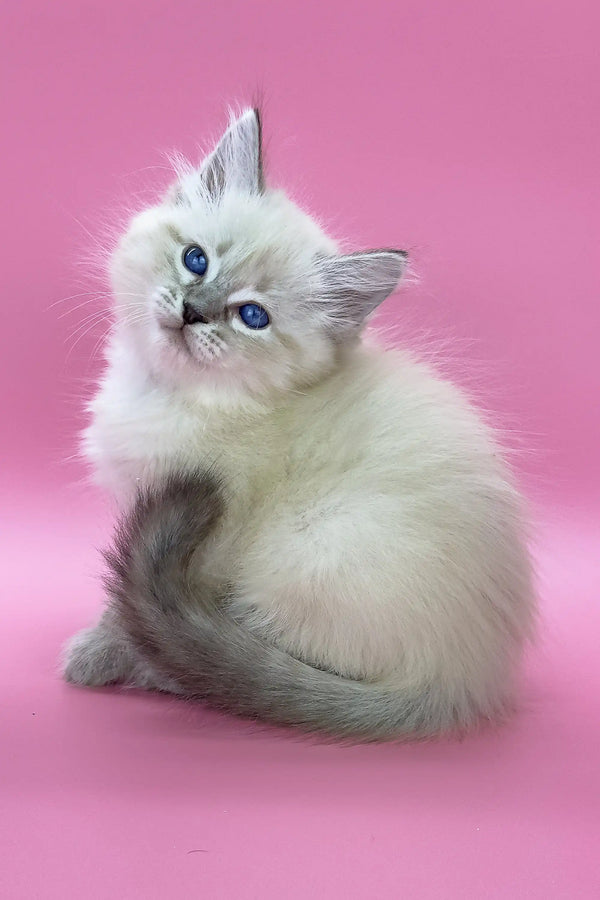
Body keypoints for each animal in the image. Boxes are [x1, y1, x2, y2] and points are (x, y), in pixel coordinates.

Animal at [64, 107, 536, 740]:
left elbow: (129, 609)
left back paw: (166, 671)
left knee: (251, 665)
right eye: (196, 260)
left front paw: (102, 650)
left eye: (252, 316)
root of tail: (459, 684)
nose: (193, 311)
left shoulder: (207, 531)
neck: (172, 396)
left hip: (311, 551)